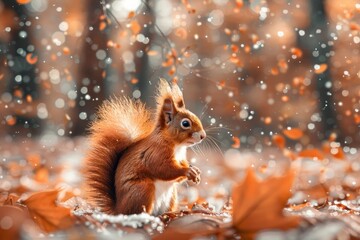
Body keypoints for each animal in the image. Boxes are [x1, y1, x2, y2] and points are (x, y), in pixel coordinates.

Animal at [84, 79, 205, 216]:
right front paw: (187, 171)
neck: (177, 146)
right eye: (185, 123)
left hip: (171, 196)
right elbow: (163, 169)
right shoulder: (156, 152)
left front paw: (194, 170)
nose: (203, 136)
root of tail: (119, 210)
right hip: (142, 189)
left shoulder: (180, 157)